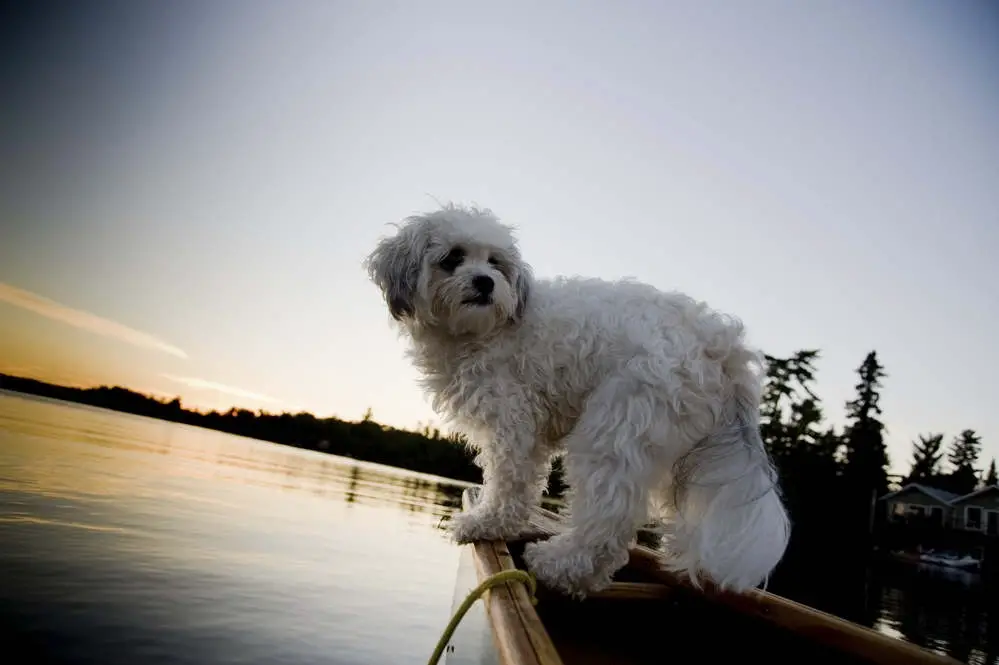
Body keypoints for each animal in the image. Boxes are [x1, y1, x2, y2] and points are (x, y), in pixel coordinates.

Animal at [364, 202, 792, 596]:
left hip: (614, 428)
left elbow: (508, 483)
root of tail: (720, 343)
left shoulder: (512, 421)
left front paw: (484, 524)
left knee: (607, 521)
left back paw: (558, 565)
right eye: (452, 257)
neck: (484, 331)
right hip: (670, 452)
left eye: (495, 262)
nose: (485, 282)